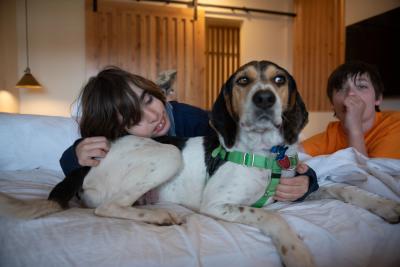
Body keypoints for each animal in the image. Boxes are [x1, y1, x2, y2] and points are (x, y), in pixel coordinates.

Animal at [1, 60, 398, 267]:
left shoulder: (291, 189)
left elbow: (341, 187)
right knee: (107, 208)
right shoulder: (219, 204)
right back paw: (162, 216)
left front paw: (386, 206)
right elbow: (272, 218)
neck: (265, 153)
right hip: (168, 154)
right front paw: (297, 252)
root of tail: (90, 161)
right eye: (243, 81)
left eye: (279, 79)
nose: (265, 98)